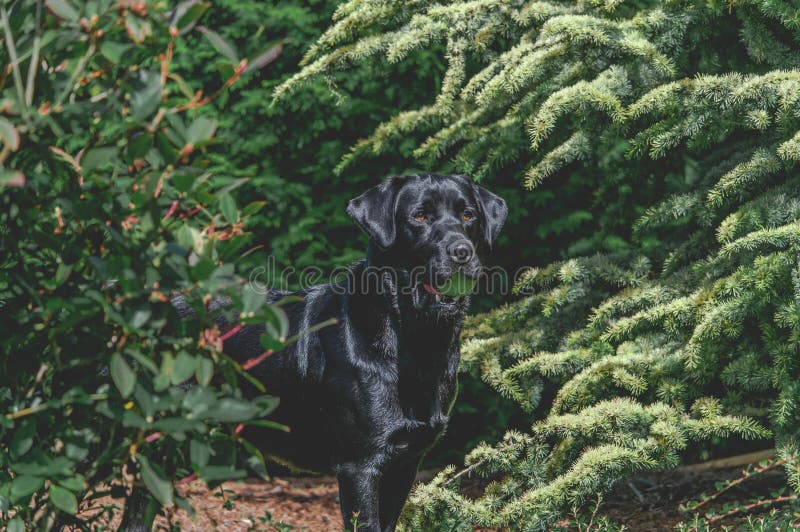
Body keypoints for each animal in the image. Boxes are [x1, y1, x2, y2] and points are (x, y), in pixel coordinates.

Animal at [123, 172, 506, 528]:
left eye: (469, 215)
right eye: (420, 216)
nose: (461, 252)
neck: (414, 341)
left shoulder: (406, 463)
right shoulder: (359, 467)